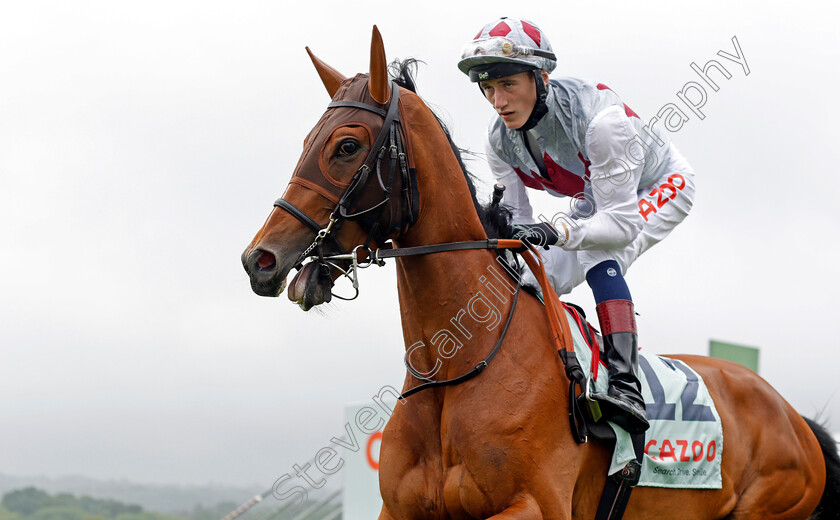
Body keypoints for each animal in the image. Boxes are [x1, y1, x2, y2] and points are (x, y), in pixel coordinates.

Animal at [243, 27, 840, 520]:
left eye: (347, 146)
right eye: (305, 142)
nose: (260, 260)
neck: (461, 363)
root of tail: (793, 417)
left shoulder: (536, 505)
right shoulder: (400, 510)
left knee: (606, 256)